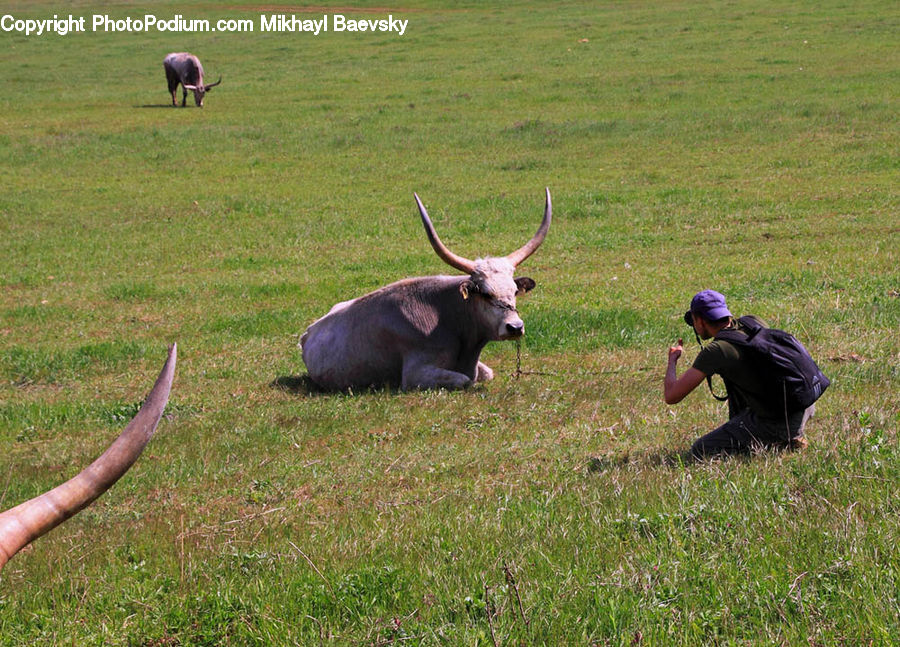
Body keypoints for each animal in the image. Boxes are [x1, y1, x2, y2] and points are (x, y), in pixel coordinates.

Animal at [300, 189, 552, 391]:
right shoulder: (415, 374)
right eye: (485, 293)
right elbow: (464, 380)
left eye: (515, 291)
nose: (515, 327)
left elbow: (487, 373)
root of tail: (308, 332)